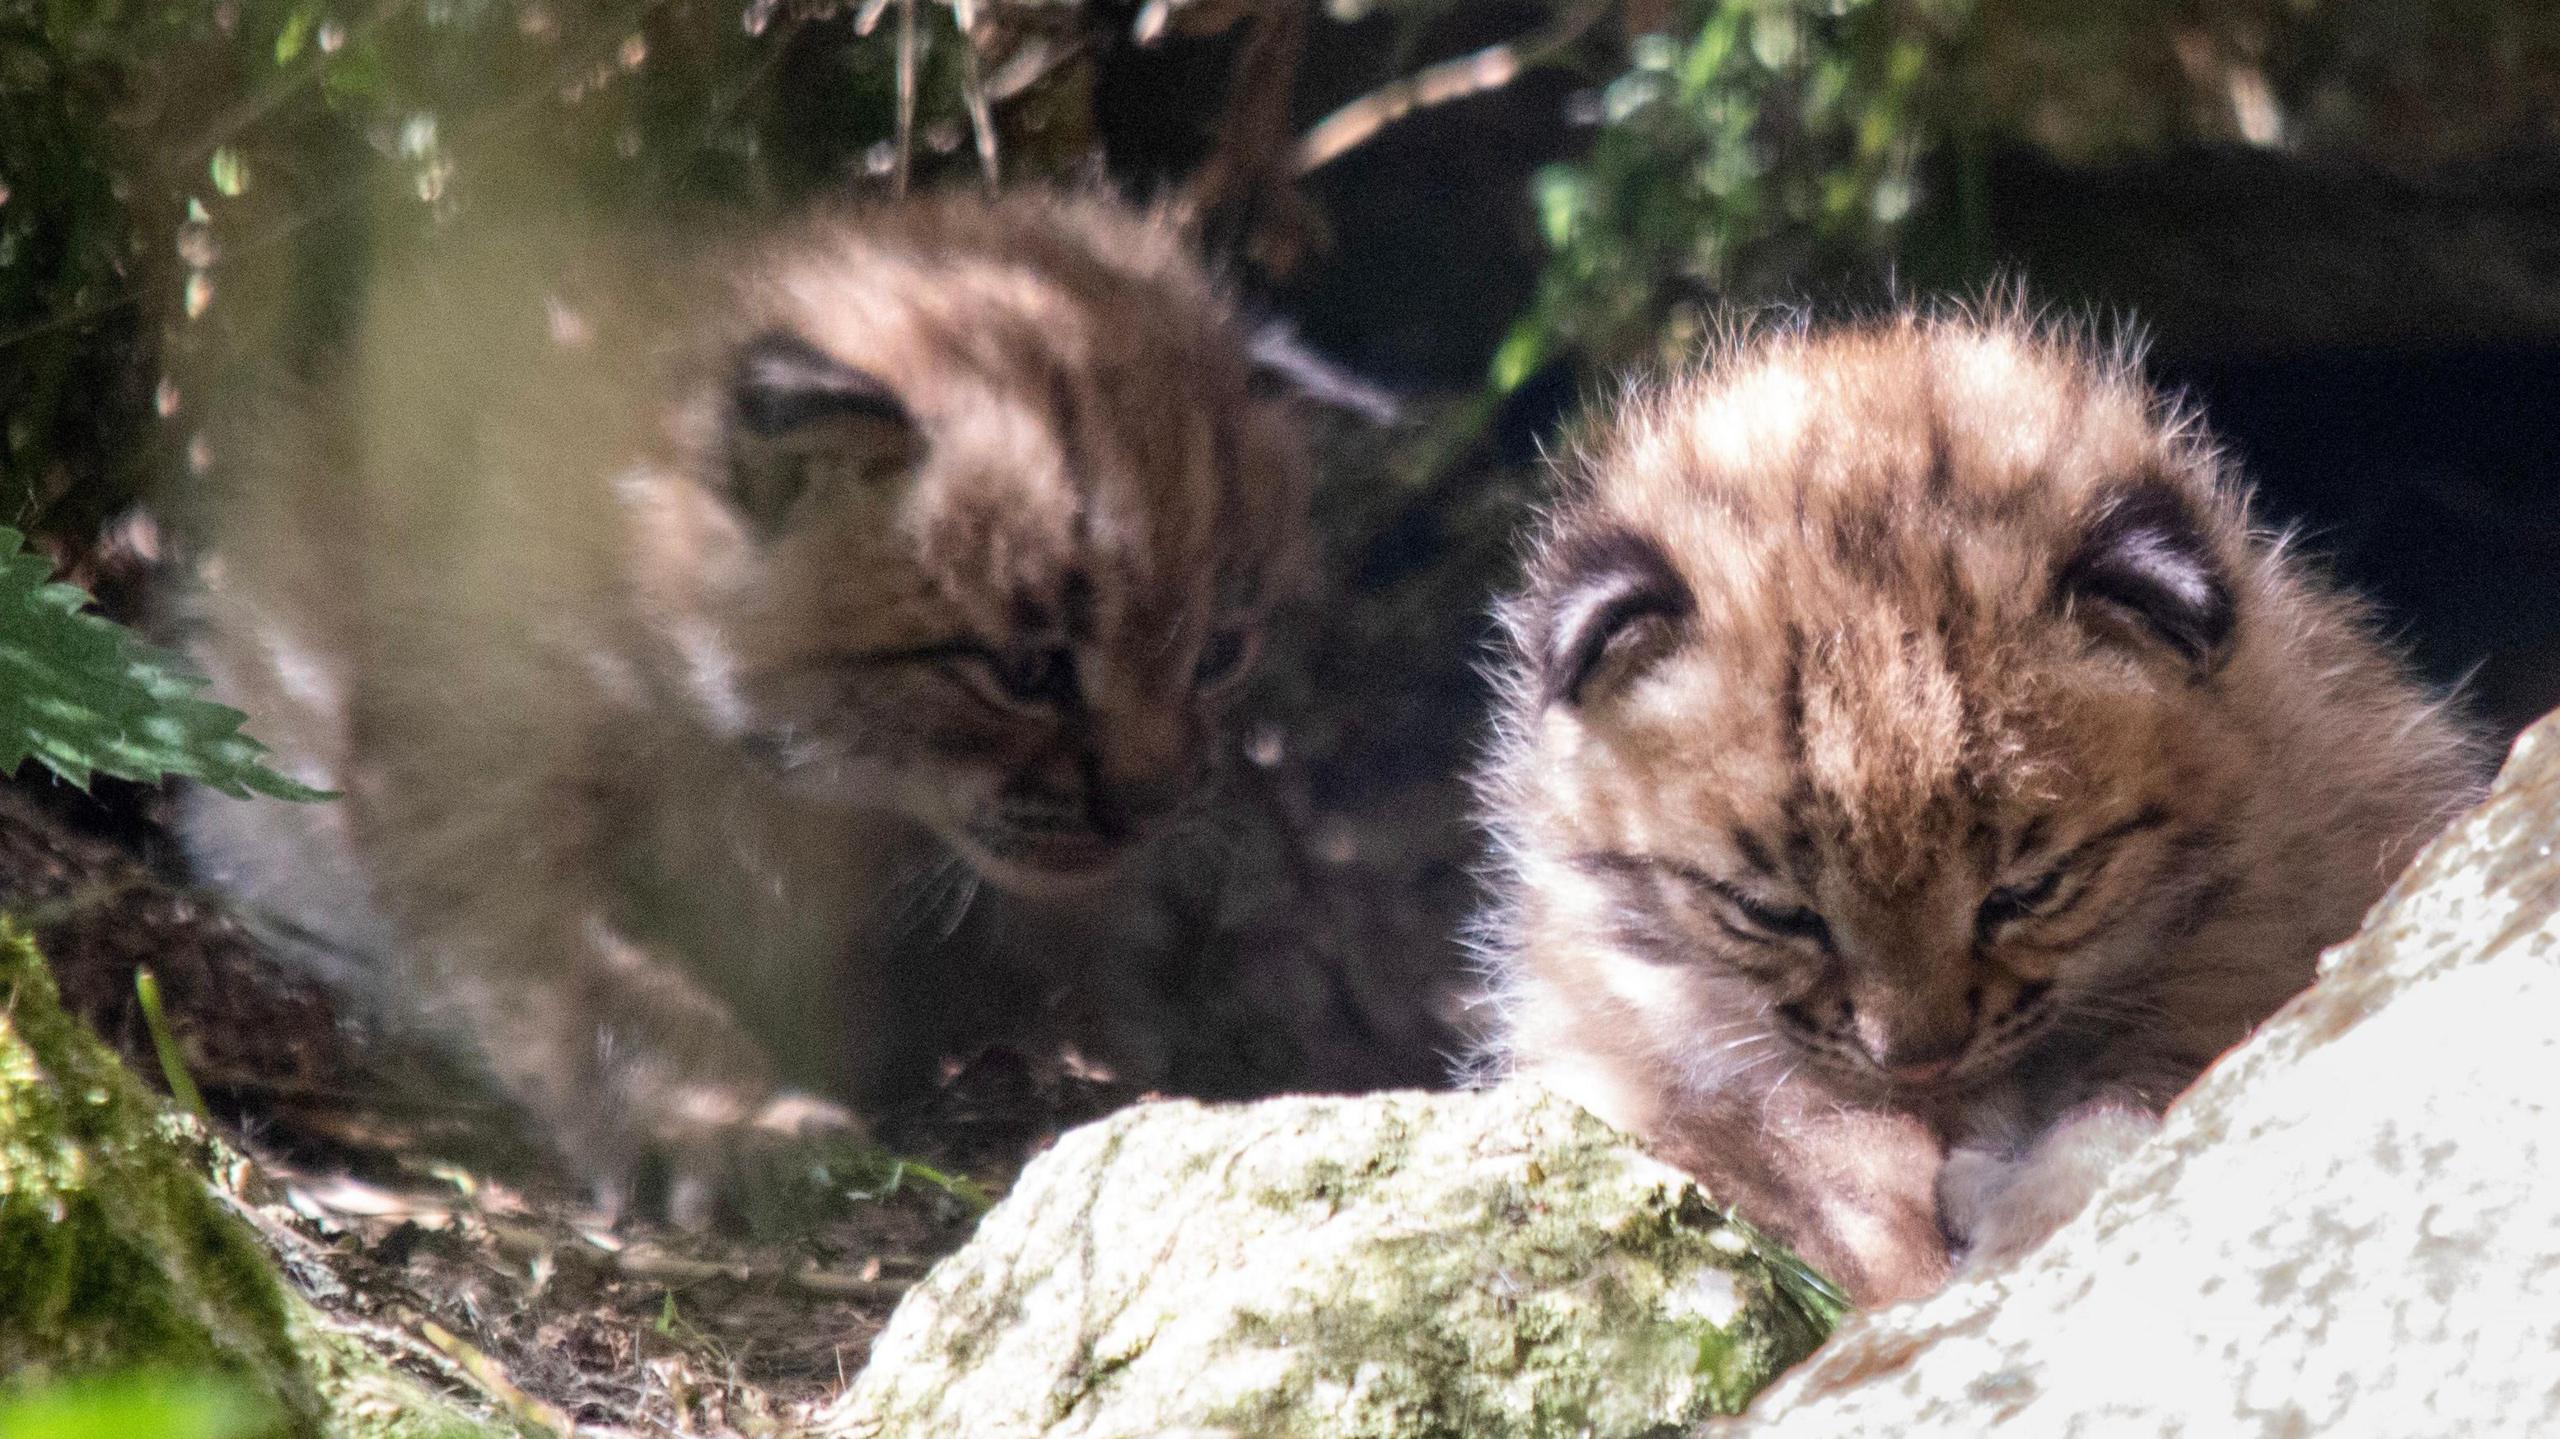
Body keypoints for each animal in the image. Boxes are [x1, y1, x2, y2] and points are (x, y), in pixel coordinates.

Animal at [180, 190, 1310, 1213]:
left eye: (1220, 652)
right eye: (1028, 670)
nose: (1152, 804)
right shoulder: (478, 787)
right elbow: (595, 971)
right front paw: (720, 1121)